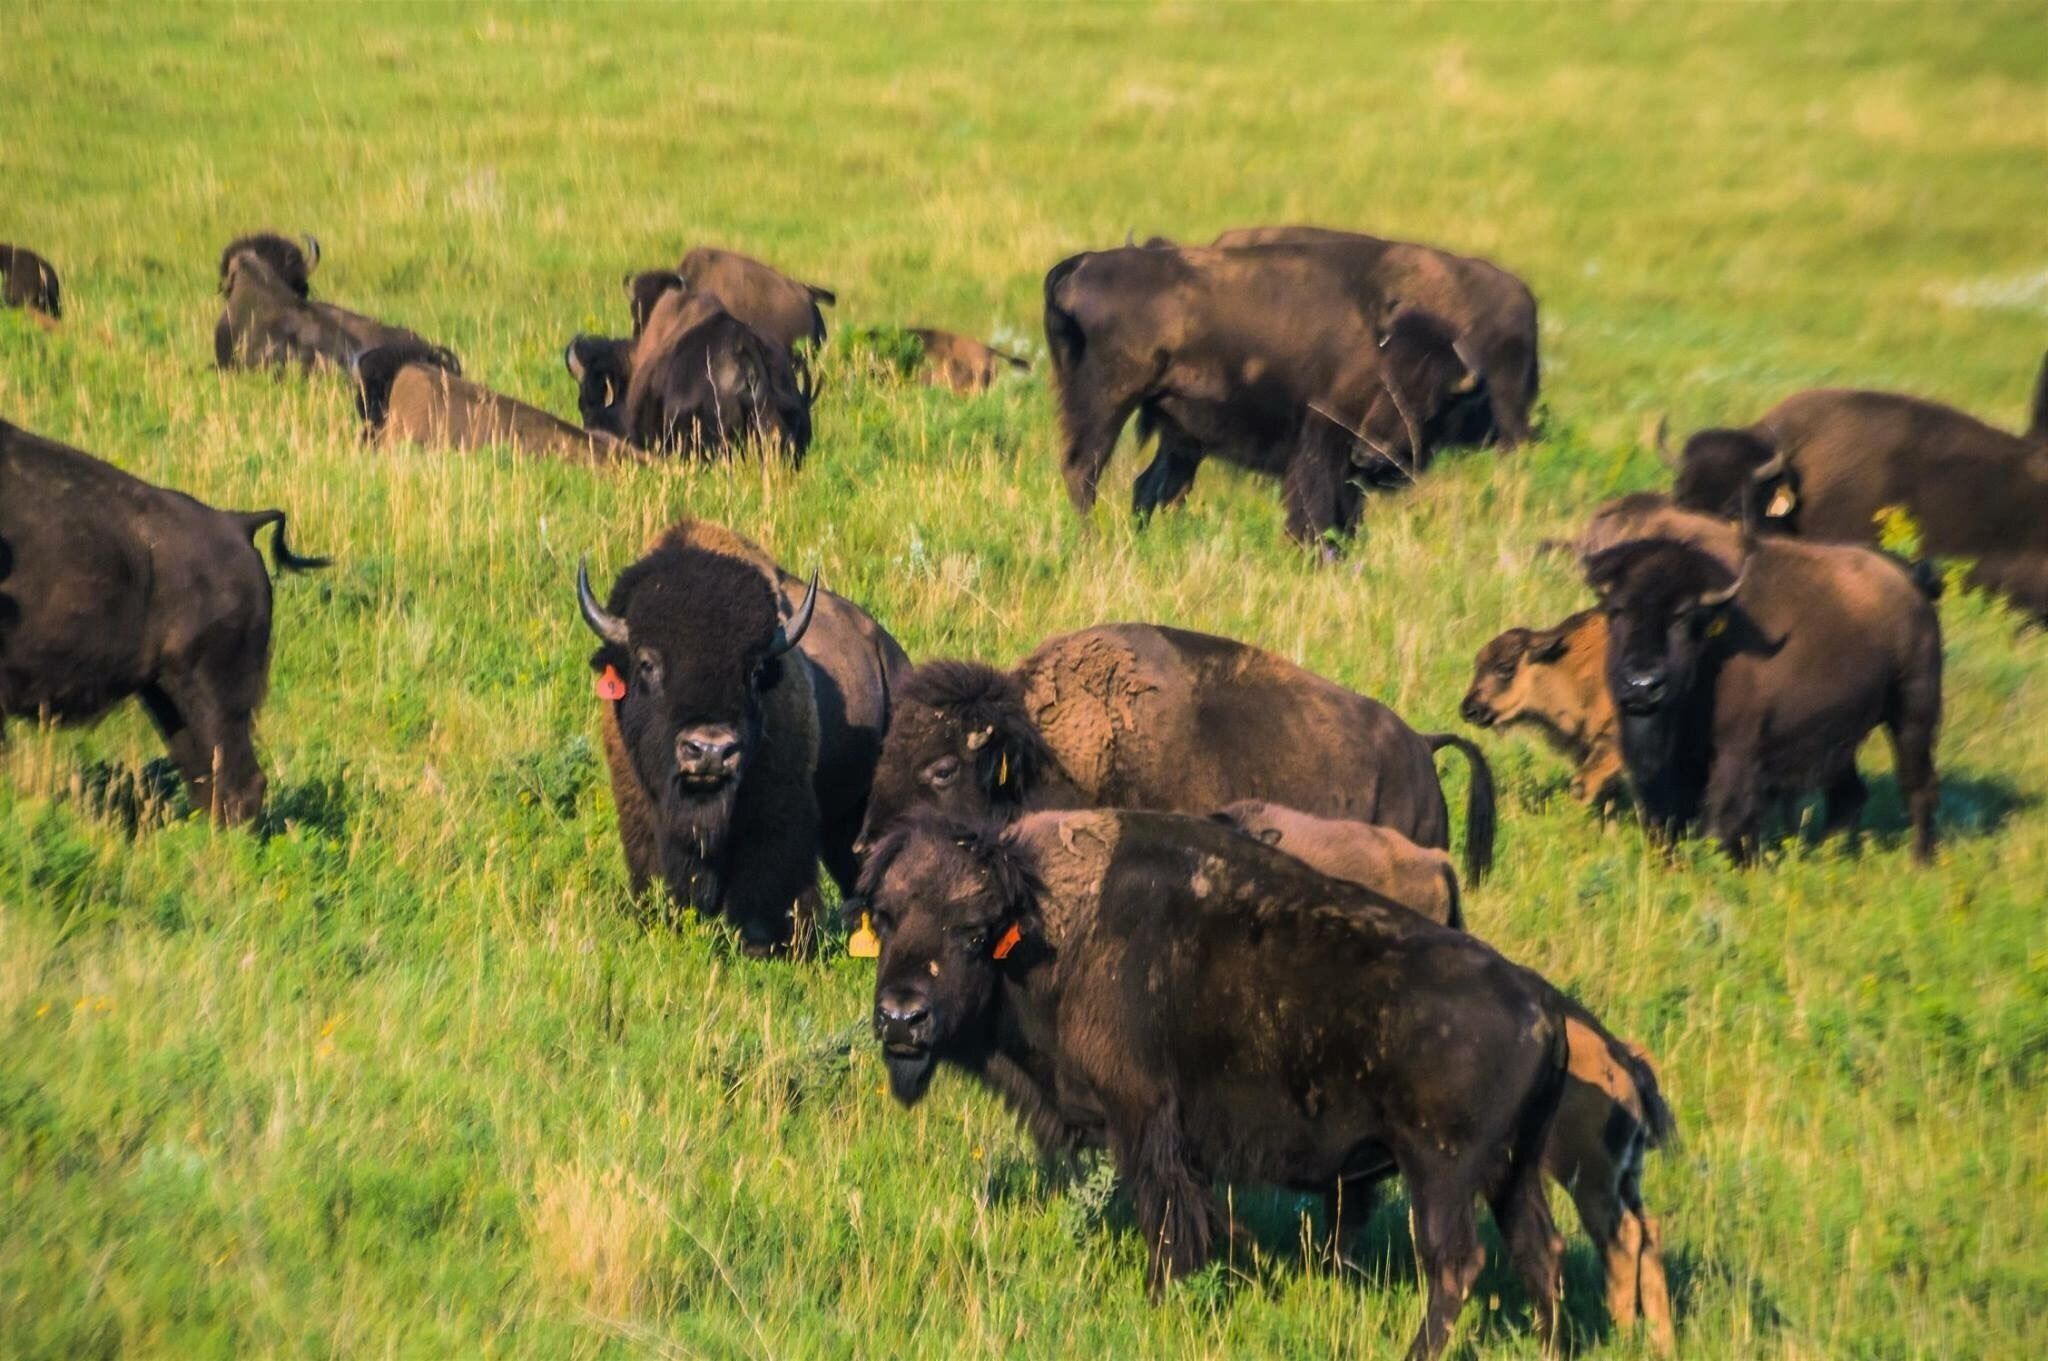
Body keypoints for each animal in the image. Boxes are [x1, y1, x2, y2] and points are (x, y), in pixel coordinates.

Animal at [1043, 244, 1479, 552]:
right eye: (1383, 385)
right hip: (1104, 404)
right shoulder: (1320, 448)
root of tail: (1081, 266)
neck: (1374, 347)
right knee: (1083, 470)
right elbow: (1314, 512)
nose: (1373, 457)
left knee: (1150, 486)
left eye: (1433, 403)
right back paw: (1091, 541)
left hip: (1178, 433)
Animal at [1584, 519, 1943, 862]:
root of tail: (1909, 579)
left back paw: (1919, 861)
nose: (1642, 684)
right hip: (1842, 735)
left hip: (1913, 712)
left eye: (1683, 615)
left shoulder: (1736, 753)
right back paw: (1829, 853)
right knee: (1849, 794)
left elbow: (1727, 817)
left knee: (1918, 784)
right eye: (1616, 610)